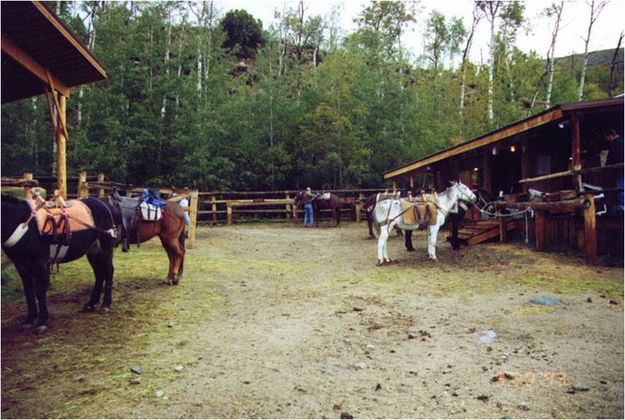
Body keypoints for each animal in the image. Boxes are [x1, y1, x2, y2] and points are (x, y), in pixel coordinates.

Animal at [1, 194, 117, 332]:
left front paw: (42, 321)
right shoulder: (21, 265)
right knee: (99, 273)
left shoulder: (39, 263)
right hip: (93, 249)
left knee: (108, 271)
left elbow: (40, 291)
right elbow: (28, 291)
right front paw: (30, 319)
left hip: (106, 245)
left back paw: (105, 304)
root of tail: (104, 202)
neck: (23, 224)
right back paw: (90, 304)